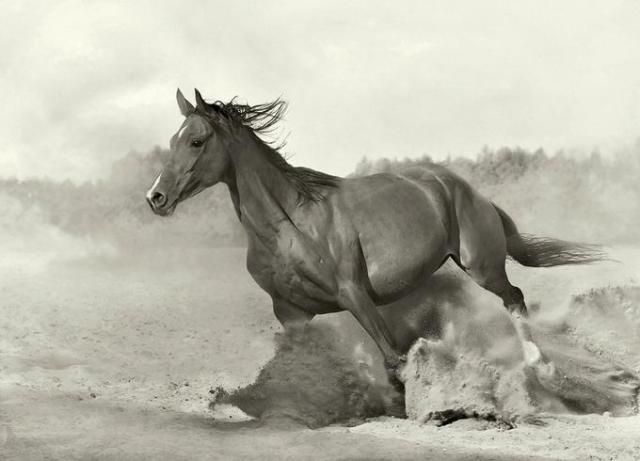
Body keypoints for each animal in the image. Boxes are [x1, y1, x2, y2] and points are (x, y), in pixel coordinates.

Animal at [146, 89, 605, 388]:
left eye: (197, 140)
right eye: (172, 140)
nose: (155, 197)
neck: (290, 225)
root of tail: (468, 189)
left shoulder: (354, 294)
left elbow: (392, 357)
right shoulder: (290, 312)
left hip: (482, 265)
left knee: (515, 298)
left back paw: (541, 367)